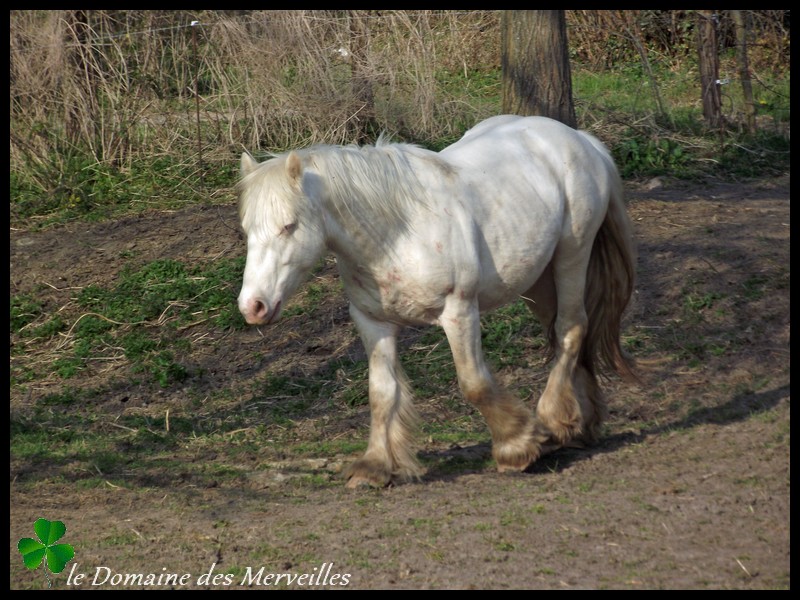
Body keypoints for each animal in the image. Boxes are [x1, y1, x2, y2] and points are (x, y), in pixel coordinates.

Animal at [234, 116, 636, 488]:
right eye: (247, 229)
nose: (252, 306)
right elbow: (381, 393)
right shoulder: (372, 322)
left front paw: (517, 445)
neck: (395, 234)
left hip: (572, 255)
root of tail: (578, 138)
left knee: (571, 328)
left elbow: (474, 383)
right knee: (565, 335)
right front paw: (375, 466)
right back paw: (579, 424)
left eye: (289, 226)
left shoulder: (459, 312)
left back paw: (554, 421)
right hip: (538, 280)